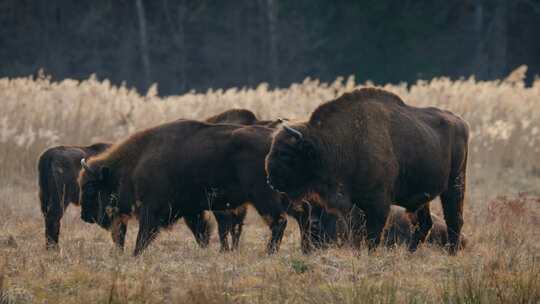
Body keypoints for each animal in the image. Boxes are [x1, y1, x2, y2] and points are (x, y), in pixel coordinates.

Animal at [266, 88, 468, 254]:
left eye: (285, 153)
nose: (270, 180)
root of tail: (461, 122)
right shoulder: (353, 206)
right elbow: (357, 233)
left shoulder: (378, 204)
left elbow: (373, 235)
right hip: (422, 198)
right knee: (425, 224)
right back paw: (410, 254)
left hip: (455, 184)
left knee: (454, 220)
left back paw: (451, 254)